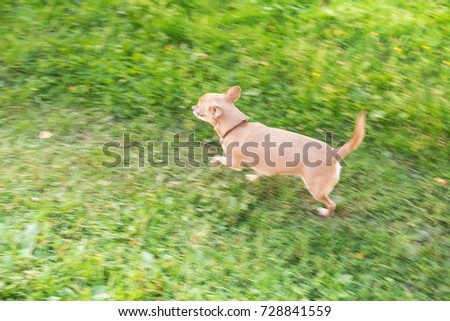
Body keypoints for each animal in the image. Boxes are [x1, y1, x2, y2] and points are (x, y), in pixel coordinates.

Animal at [191, 85, 366, 215]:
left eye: (200, 107)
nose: (192, 107)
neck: (236, 126)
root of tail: (335, 153)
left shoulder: (233, 163)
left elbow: (220, 158)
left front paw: (213, 160)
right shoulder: (260, 165)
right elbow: (259, 173)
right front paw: (253, 178)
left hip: (316, 190)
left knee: (332, 204)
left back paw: (325, 212)